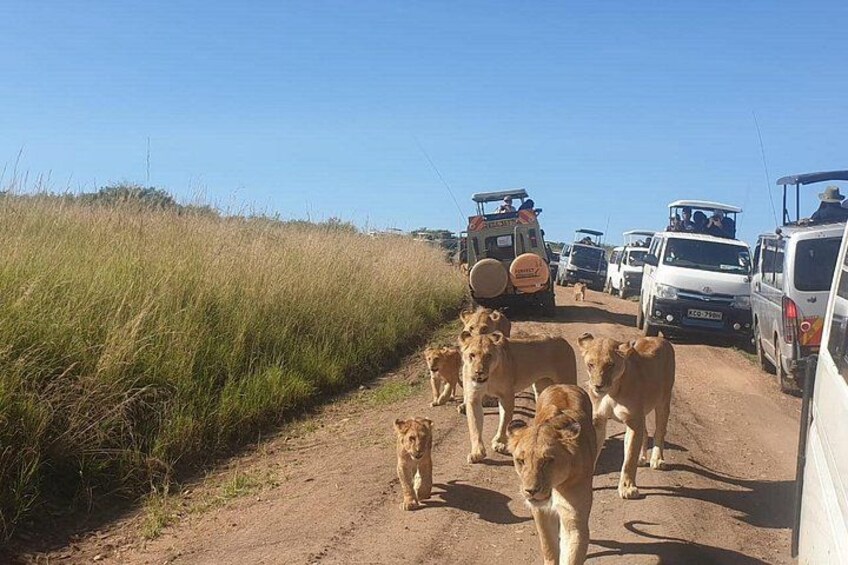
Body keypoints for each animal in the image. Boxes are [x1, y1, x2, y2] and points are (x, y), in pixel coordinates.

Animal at [459, 330, 577, 463]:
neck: (489, 376)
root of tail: (563, 340)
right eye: (472, 355)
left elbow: (504, 421)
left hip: (567, 379)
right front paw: (477, 453)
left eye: (488, 355)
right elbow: (474, 426)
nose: (479, 372)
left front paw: (500, 443)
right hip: (541, 386)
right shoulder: (473, 398)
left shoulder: (506, 396)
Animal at [508, 385, 597, 565]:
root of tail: (563, 385)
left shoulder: (574, 518)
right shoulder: (540, 512)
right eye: (521, 461)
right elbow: (548, 545)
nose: (530, 491)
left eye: (547, 461)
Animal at [576, 333, 675, 500]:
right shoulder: (599, 421)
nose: (598, 386)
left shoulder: (633, 421)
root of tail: (658, 338)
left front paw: (628, 488)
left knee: (659, 432)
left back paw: (657, 459)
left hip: (663, 401)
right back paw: (642, 458)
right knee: (646, 432)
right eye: (590, 364)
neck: (612, 391)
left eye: (610, 365)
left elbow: (629, 459)